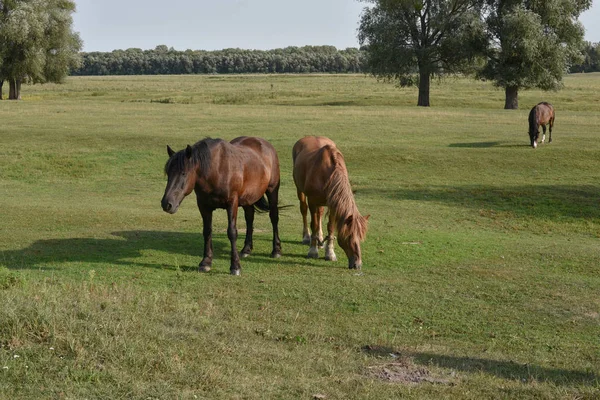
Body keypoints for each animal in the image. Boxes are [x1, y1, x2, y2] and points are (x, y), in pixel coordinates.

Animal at [159, 137, 282, 276]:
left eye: (184, 173)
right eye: (168, 173)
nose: (167, 204)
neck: (216, 171)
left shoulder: (232, 203)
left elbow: (232, 232)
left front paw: (235, 266)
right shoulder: (203, 206)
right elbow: (207, 231)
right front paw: (205, 262)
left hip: (272, 191)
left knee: (274, 217)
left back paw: (276, 250)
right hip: (247, 199)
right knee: (249, 219)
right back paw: (246, 249)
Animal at [292, 136, 368, 270]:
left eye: (360, 237)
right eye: (349, 236)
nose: (357, 264)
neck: (327, 174)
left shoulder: (333, 204)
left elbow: (330, 227)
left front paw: (330, 253)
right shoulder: (312, 201)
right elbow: (314, 224)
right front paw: (313, 250)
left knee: (320, 213)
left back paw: (320, 239)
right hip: (300, 191)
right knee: (304, 210)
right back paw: (307, 237)